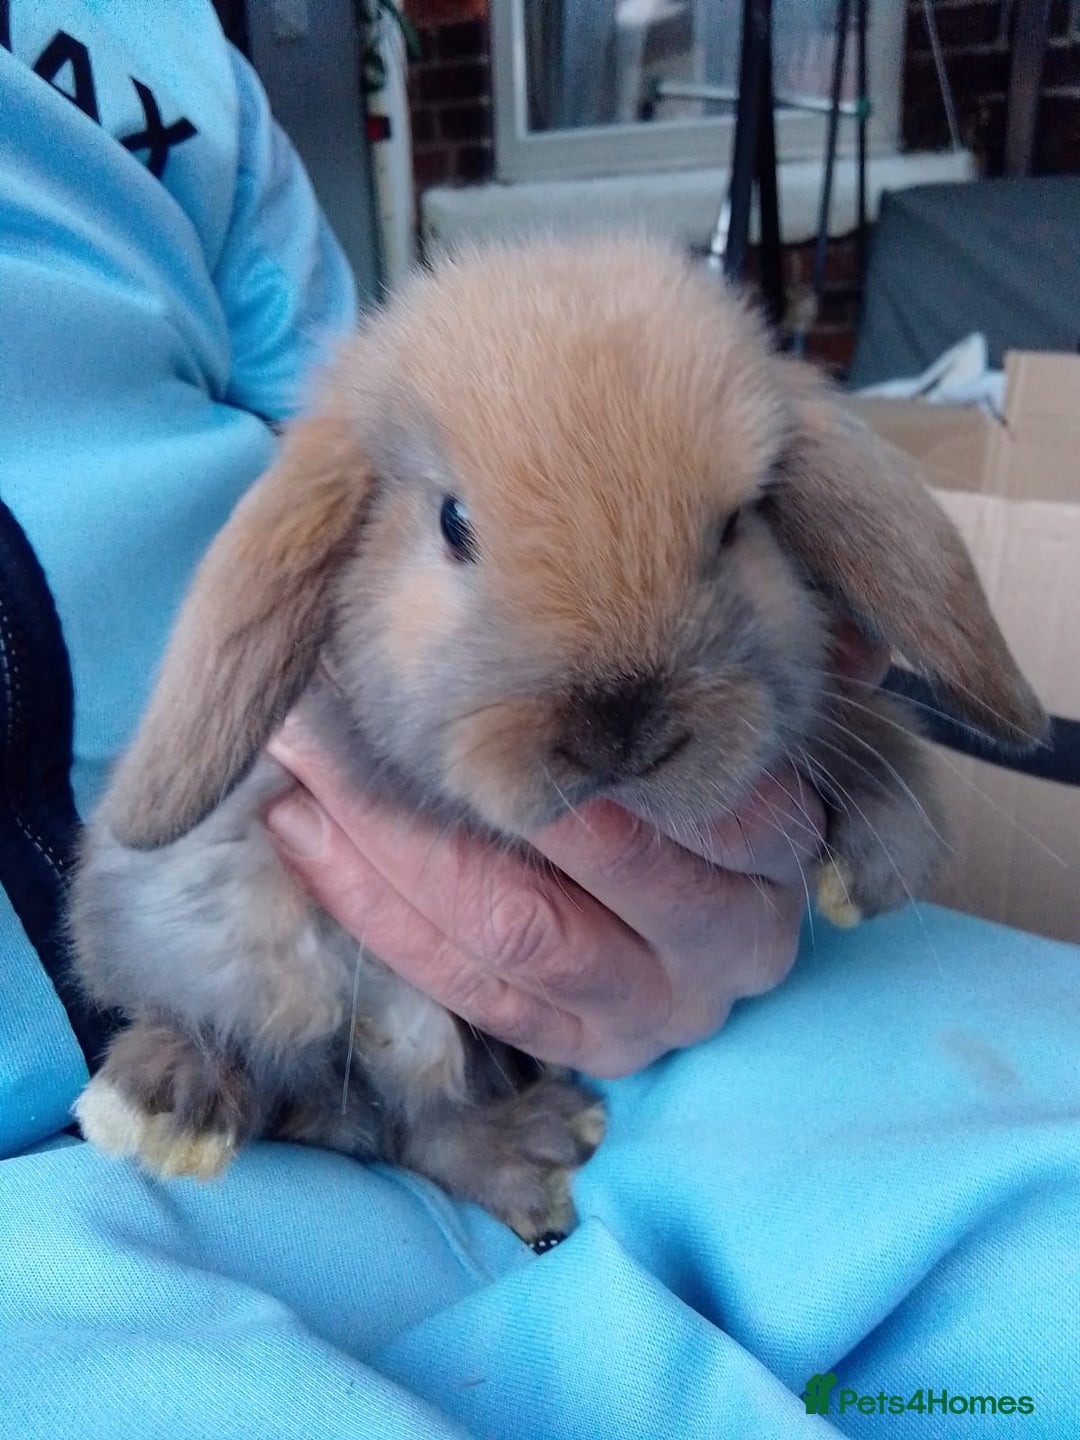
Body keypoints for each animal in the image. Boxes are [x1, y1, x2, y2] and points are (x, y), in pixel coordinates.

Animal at [68, 234, 1047, 1243]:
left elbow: (848, 725)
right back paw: (172, 1103)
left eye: (736, 526)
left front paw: (876, 865)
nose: (622, 728)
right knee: (358, 1082)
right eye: (454, 523)